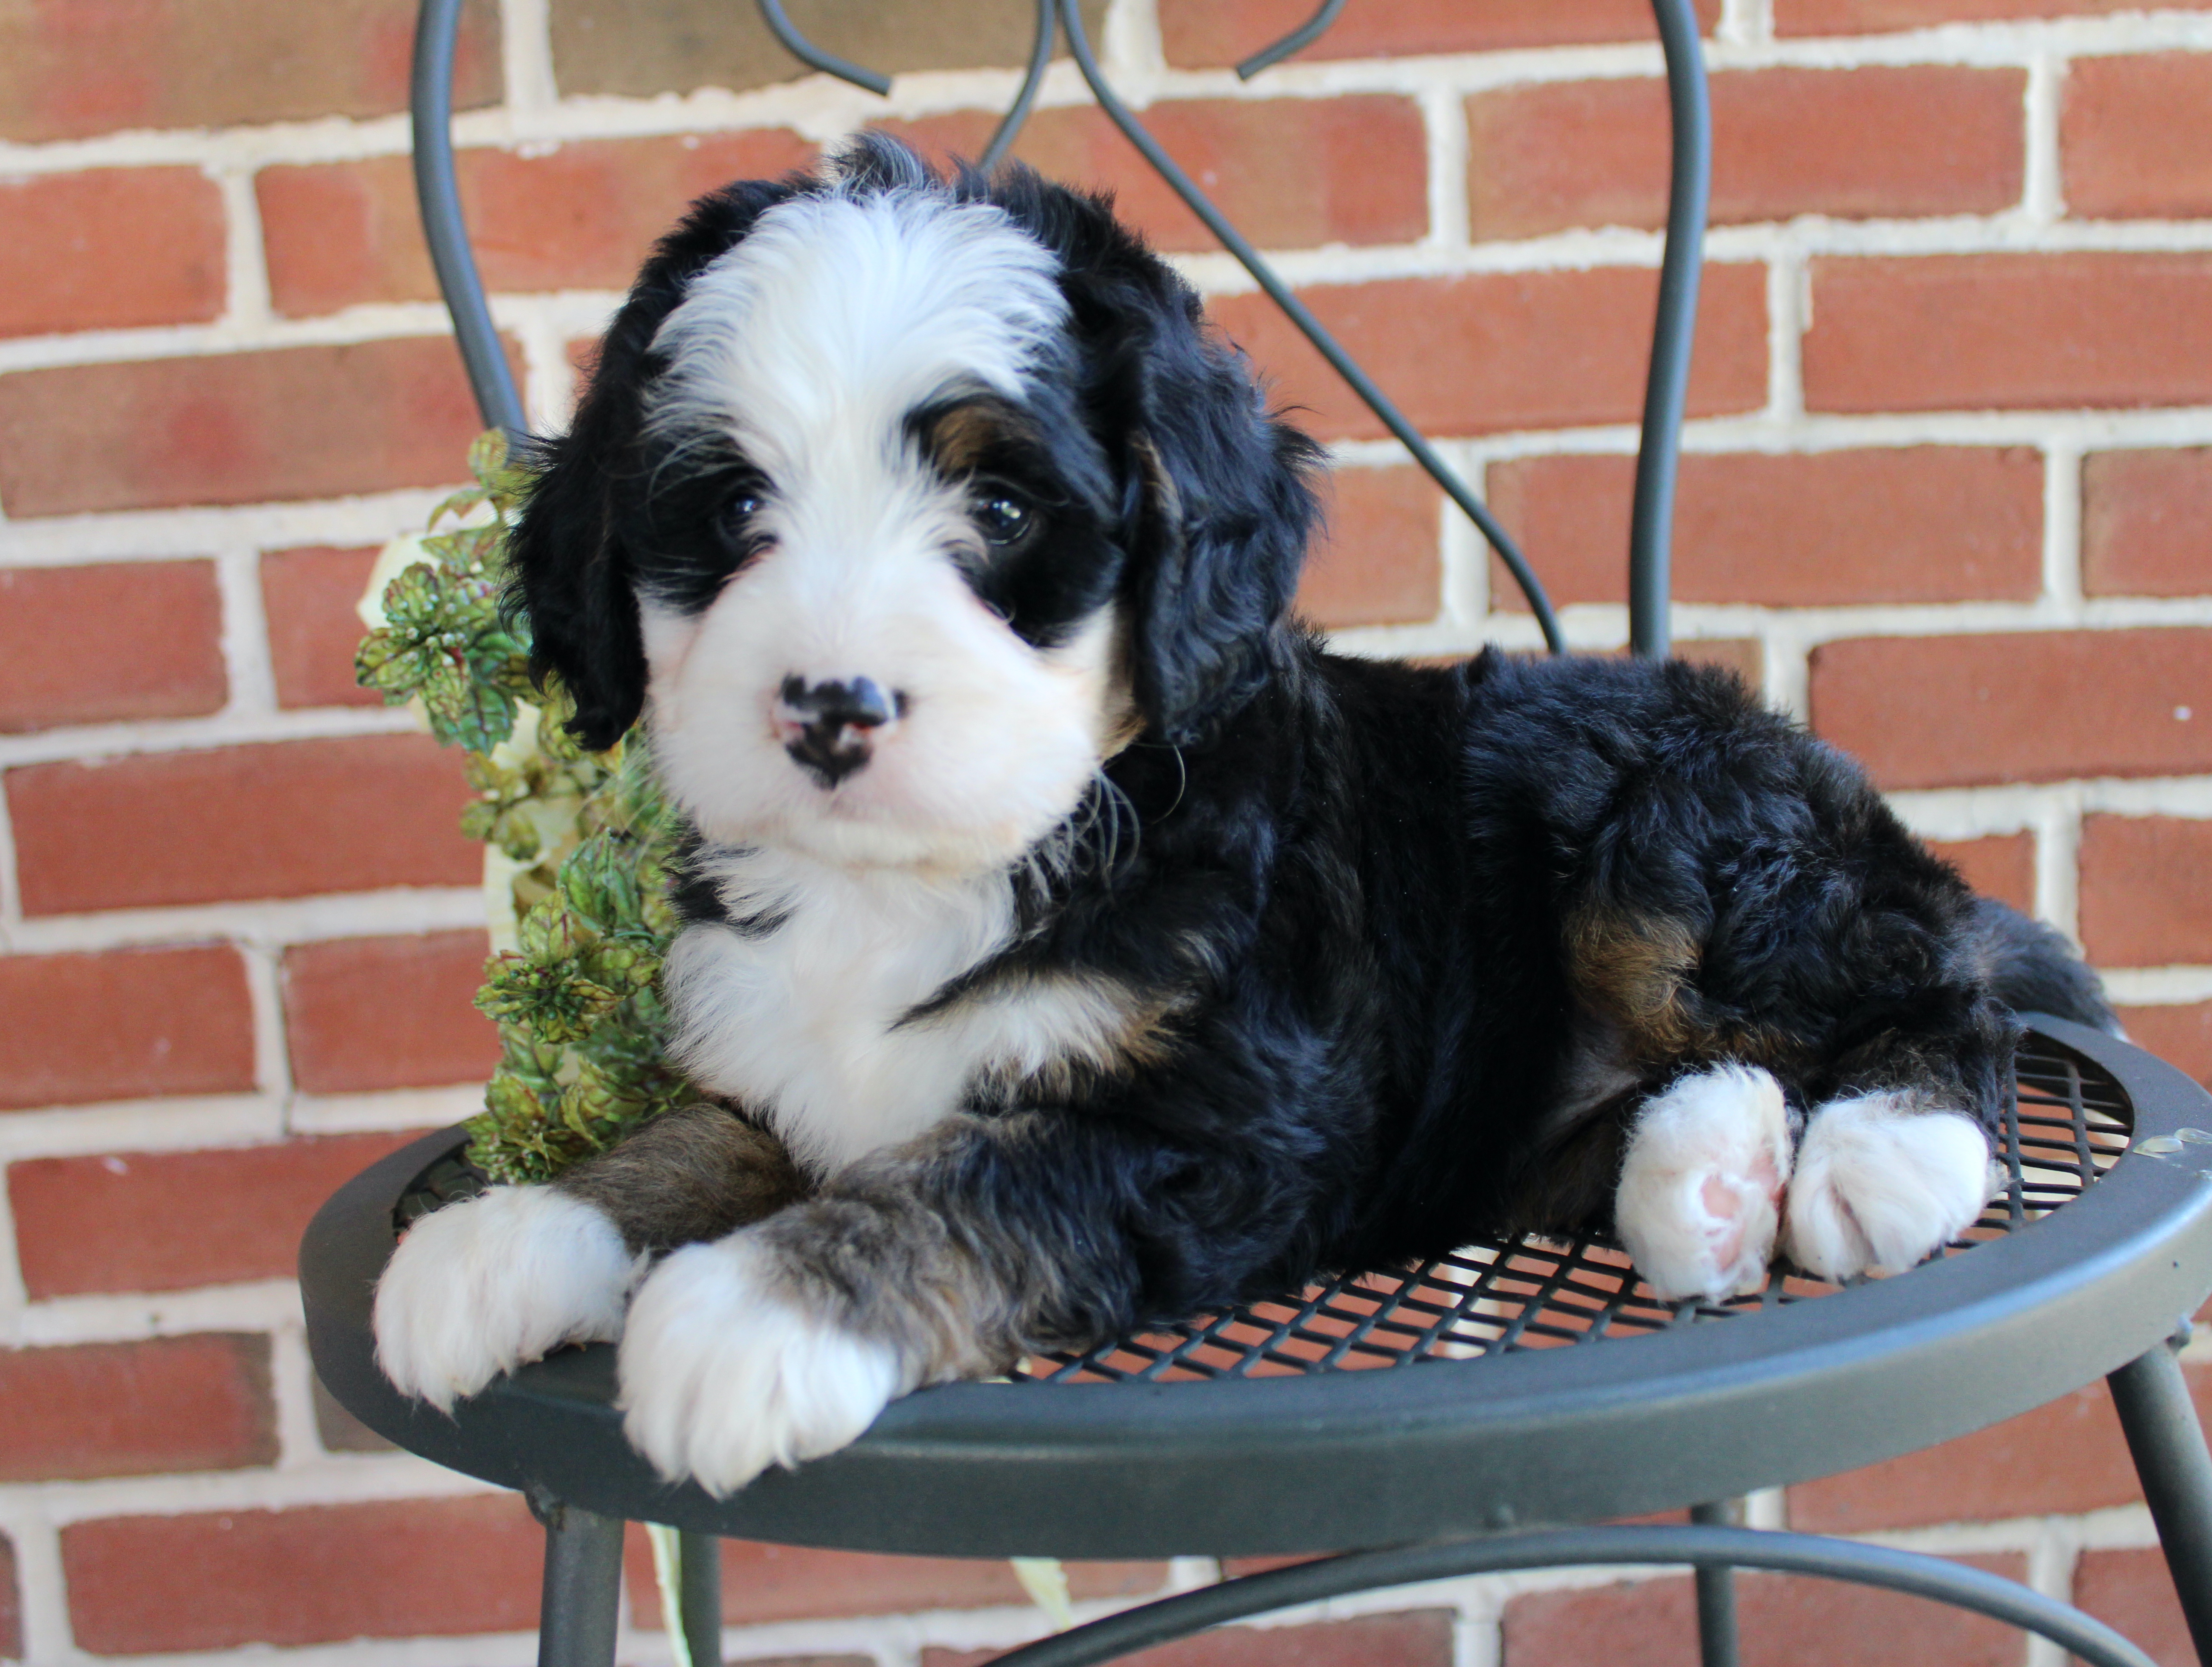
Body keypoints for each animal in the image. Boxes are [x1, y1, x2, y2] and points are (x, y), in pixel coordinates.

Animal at [371, 136, 2115, 1494]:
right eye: (734, 505)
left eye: (1000, 505)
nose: (828, 703)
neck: (941, 874)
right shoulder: (770, 1062)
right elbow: (684, 1136)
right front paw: (510, 1238)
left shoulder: (1221, 1128)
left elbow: (971, 1174)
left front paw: (761, 1313)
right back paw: (1711, 1179)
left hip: (1672, 839)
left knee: (1935, 992)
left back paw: (1877, 1154)